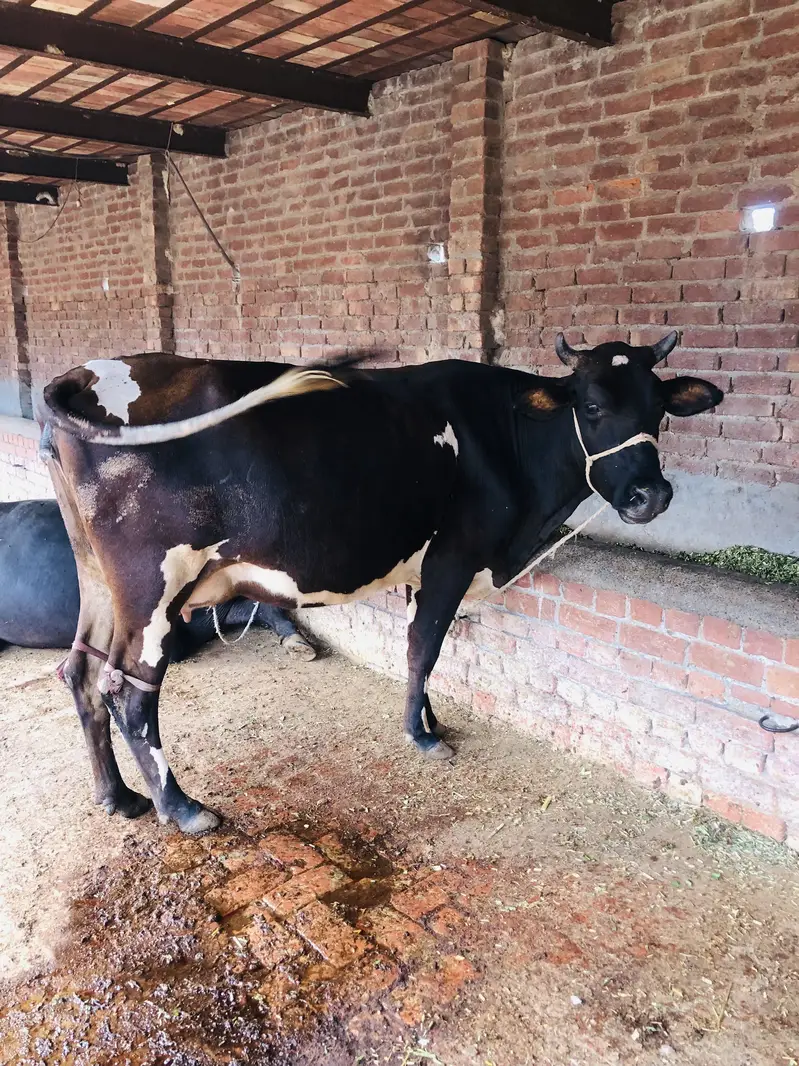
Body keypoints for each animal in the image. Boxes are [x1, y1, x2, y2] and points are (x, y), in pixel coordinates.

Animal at [40, 332, 722, 833]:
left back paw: (117, 797)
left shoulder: (427, 567)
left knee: (80, 671)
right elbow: (425, 648)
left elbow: (421, 649)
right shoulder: (453, 556)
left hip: (97, 578)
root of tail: (86, 372)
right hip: (152, 585)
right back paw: (181, 808)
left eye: (659, 410)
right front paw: (422, 737)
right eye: (592, 406)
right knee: (129, 693)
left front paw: (430, 720)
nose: (650, 495)